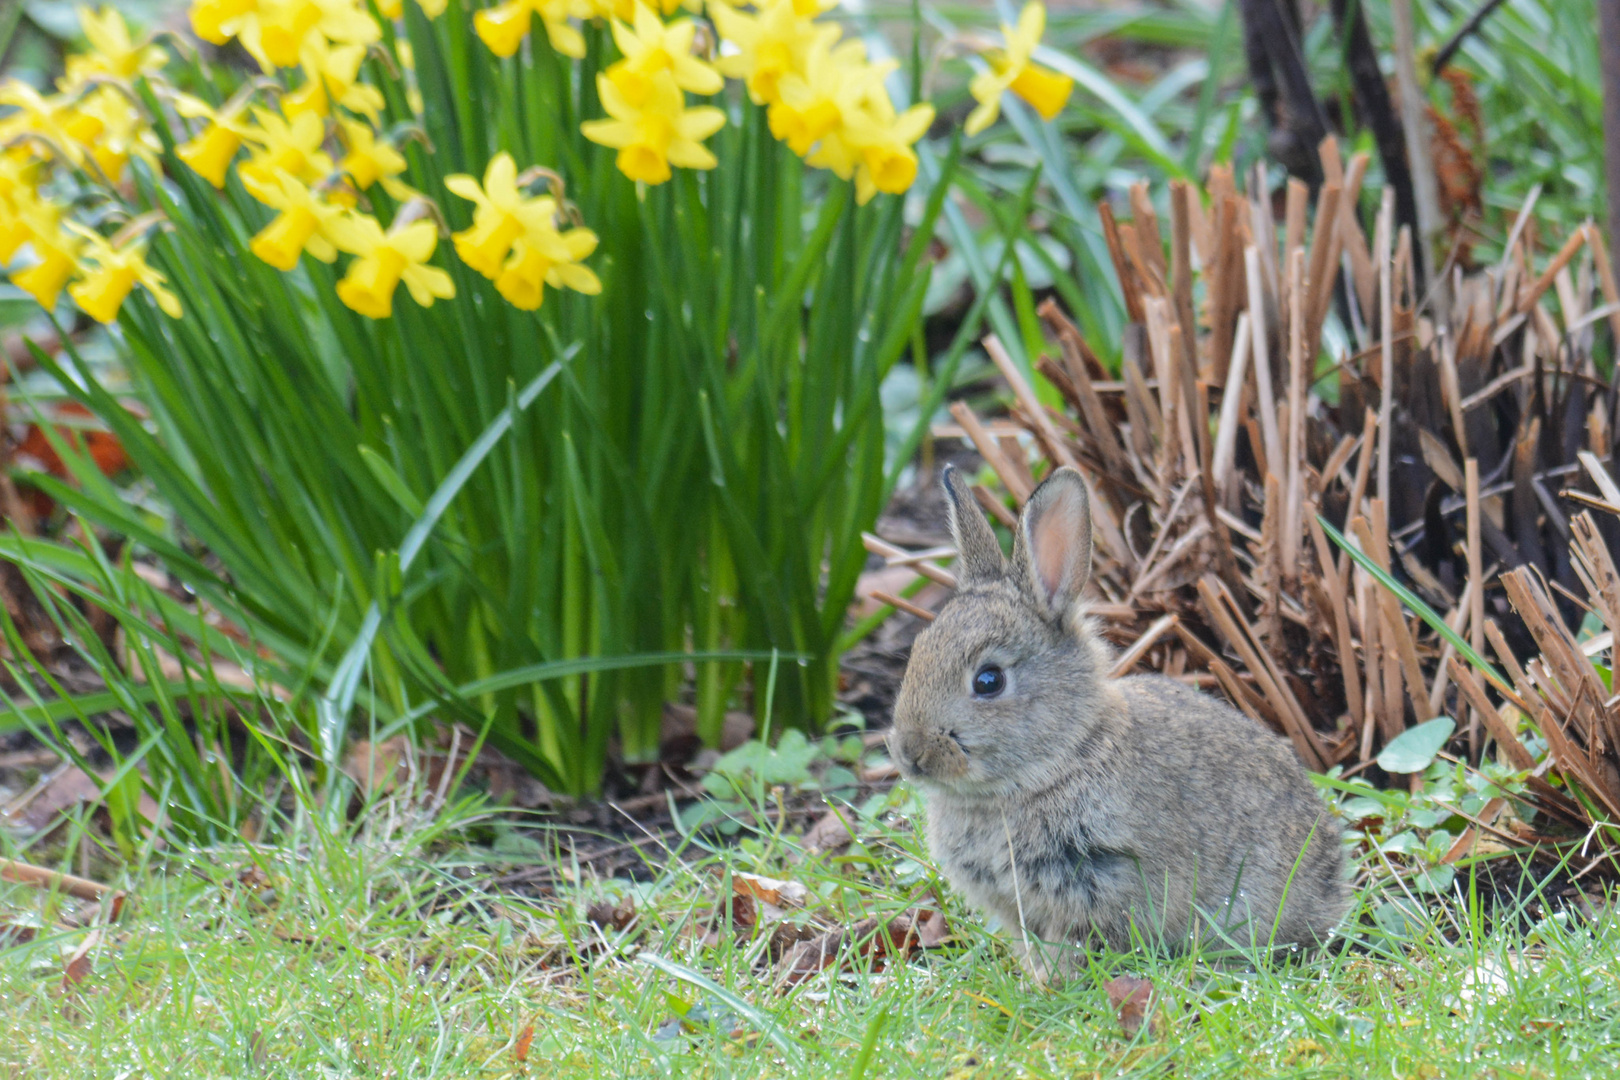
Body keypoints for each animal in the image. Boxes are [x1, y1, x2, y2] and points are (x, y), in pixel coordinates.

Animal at [894, 466, 1347, 977]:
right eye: (917, 652)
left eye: (989, 680)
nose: (910, 754)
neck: (1061, 759)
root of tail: (1333, 892)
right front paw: (1036, 980)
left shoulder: (1101, 880)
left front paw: (1051, 984)